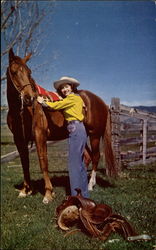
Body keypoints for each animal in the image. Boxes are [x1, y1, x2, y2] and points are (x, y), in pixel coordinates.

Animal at [7, 47, 117, 204]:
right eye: (15, 71)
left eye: (29, 72)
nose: (30, 98)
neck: (21, 113)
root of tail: (100, 101)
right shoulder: (19, 139)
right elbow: (24, 163)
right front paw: (25, 190)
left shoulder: (39, 135)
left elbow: (43, 161)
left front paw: (48, 194)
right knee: (88, 157)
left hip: (95, 135)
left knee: (95, 156)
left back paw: (90, 184)